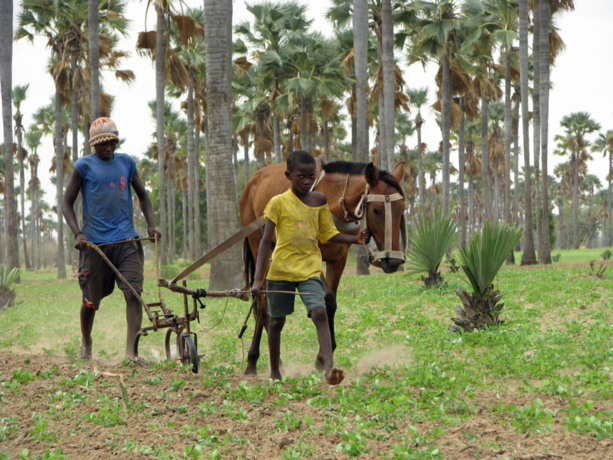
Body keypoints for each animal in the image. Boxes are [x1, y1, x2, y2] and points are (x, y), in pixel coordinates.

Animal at [239, 160, 406, 376]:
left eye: (402, 209)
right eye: (376, 210)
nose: (392, 261)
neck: (333, 204)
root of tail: (252, 181)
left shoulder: (339, 258)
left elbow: (332, 302)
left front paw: (323, 355)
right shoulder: (312, 259)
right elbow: (327, 298)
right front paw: (322, 356)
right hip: (258, 242)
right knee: (261, 301)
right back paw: (252, 360)